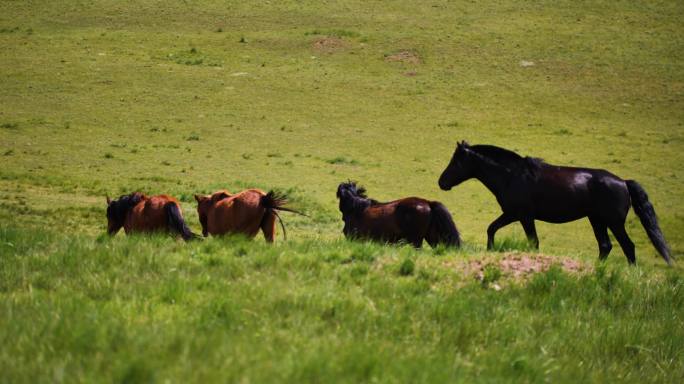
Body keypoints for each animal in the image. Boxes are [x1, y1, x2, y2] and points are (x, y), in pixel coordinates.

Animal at [438, 140, 668, 266]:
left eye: (456, 161)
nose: (441, 182)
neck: (511, 175)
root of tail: (624, 182)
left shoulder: (524, 216)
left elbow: (533, 242)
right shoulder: (512, 214)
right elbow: (491, 229)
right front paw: (490, 250)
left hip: (614, 222)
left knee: (628, 247)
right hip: (597, 220)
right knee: (605, 246)